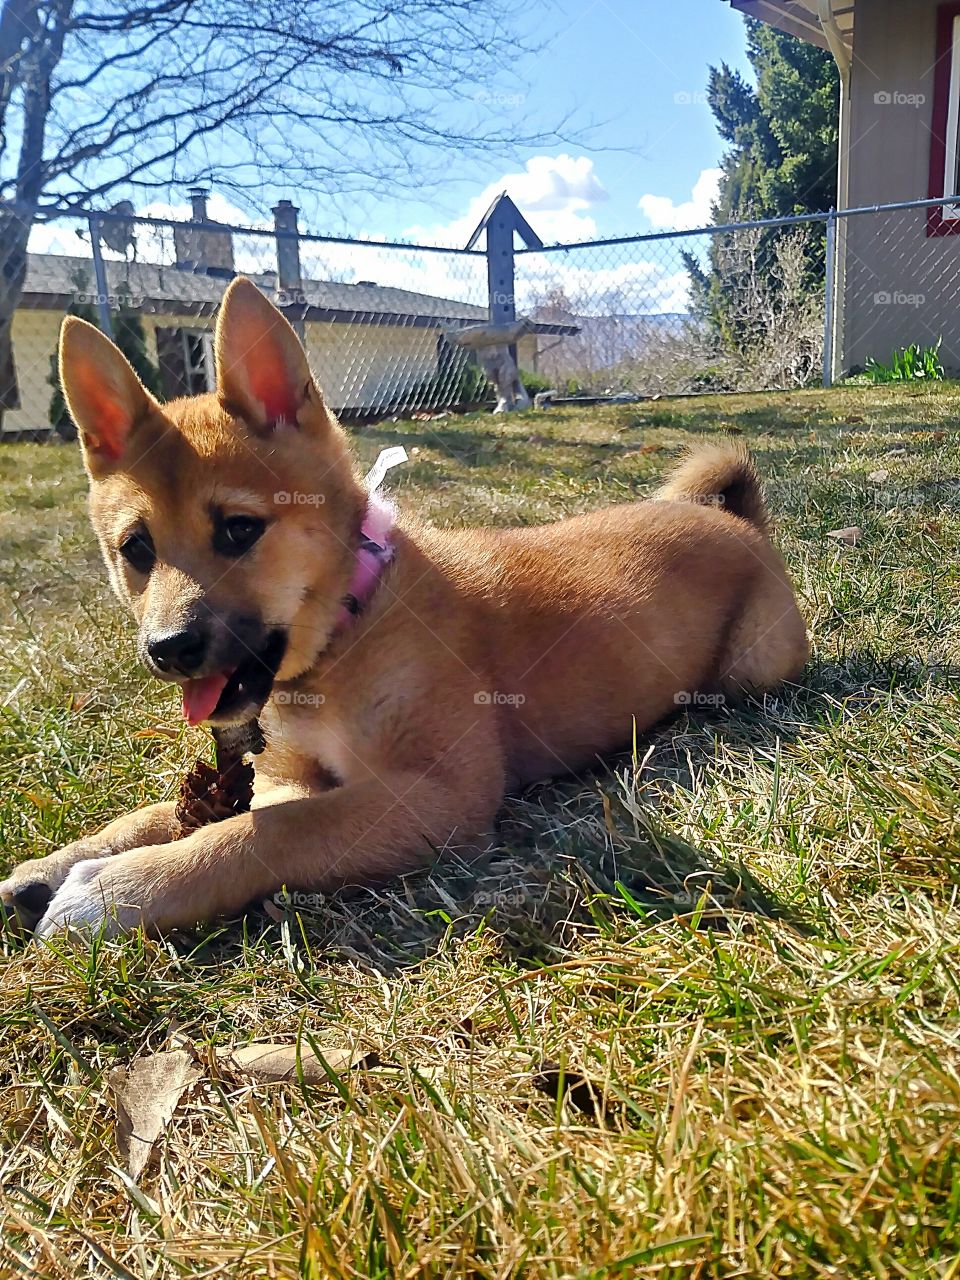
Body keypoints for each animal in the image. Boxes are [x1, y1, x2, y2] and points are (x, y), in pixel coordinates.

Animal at [0, 282, 814, 942]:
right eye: (135, 549)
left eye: (238, 529)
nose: (167, 649)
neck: (352, 622)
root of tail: (736, 522)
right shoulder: (285, 769)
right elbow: (175, 813)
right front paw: (64, 861)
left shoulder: (434, 794)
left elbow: (270, 831)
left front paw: (119, 889)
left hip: (750, 669)